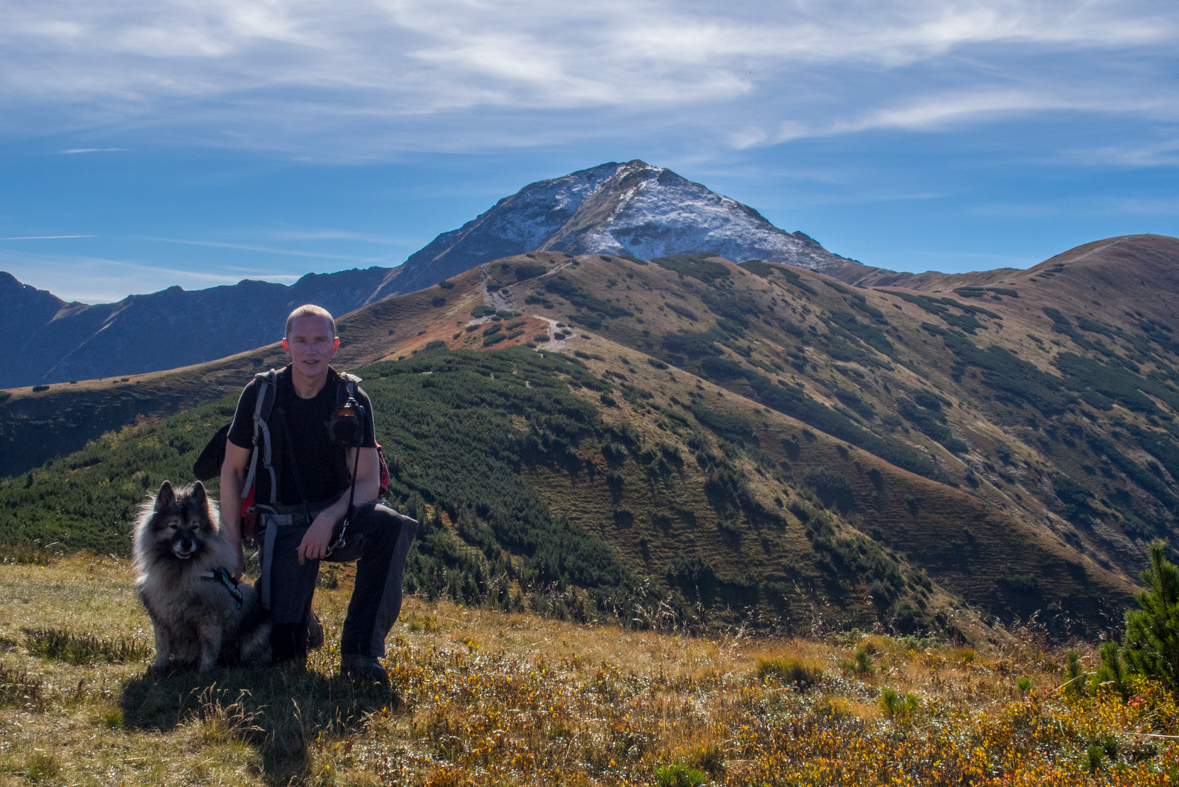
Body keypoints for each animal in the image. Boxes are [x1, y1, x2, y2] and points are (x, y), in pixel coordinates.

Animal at [133, 480, 271, 669]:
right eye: (173, 526)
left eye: (195, 527)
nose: (186, 544)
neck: (181, 573)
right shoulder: (160, 618)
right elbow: (162, 645)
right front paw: (159, 666)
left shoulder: (209, 619)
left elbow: (209, 646)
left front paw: (205, 669)